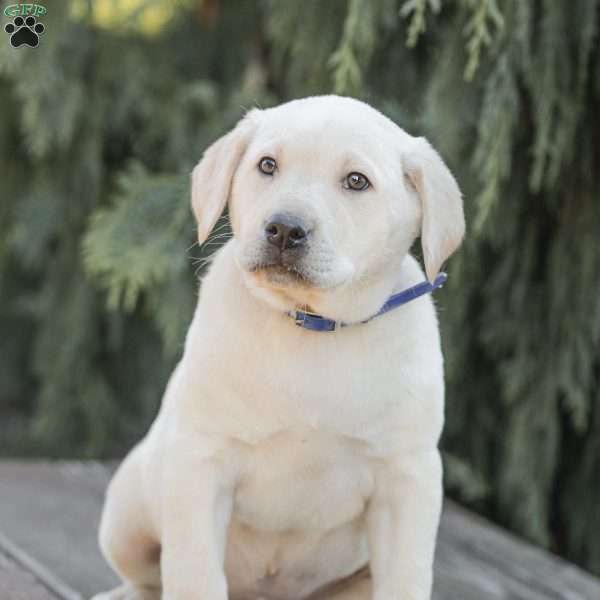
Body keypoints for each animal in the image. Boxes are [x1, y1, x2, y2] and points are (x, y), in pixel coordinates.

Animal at [94, 95, 466, 600]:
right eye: (267, 165)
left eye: (356, 181)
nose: (284, 229)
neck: (309, 326)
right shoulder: (199, 462)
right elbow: (194, 573)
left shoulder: (407, 478)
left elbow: (406, 579)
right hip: (127, 513)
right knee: (149, 577)